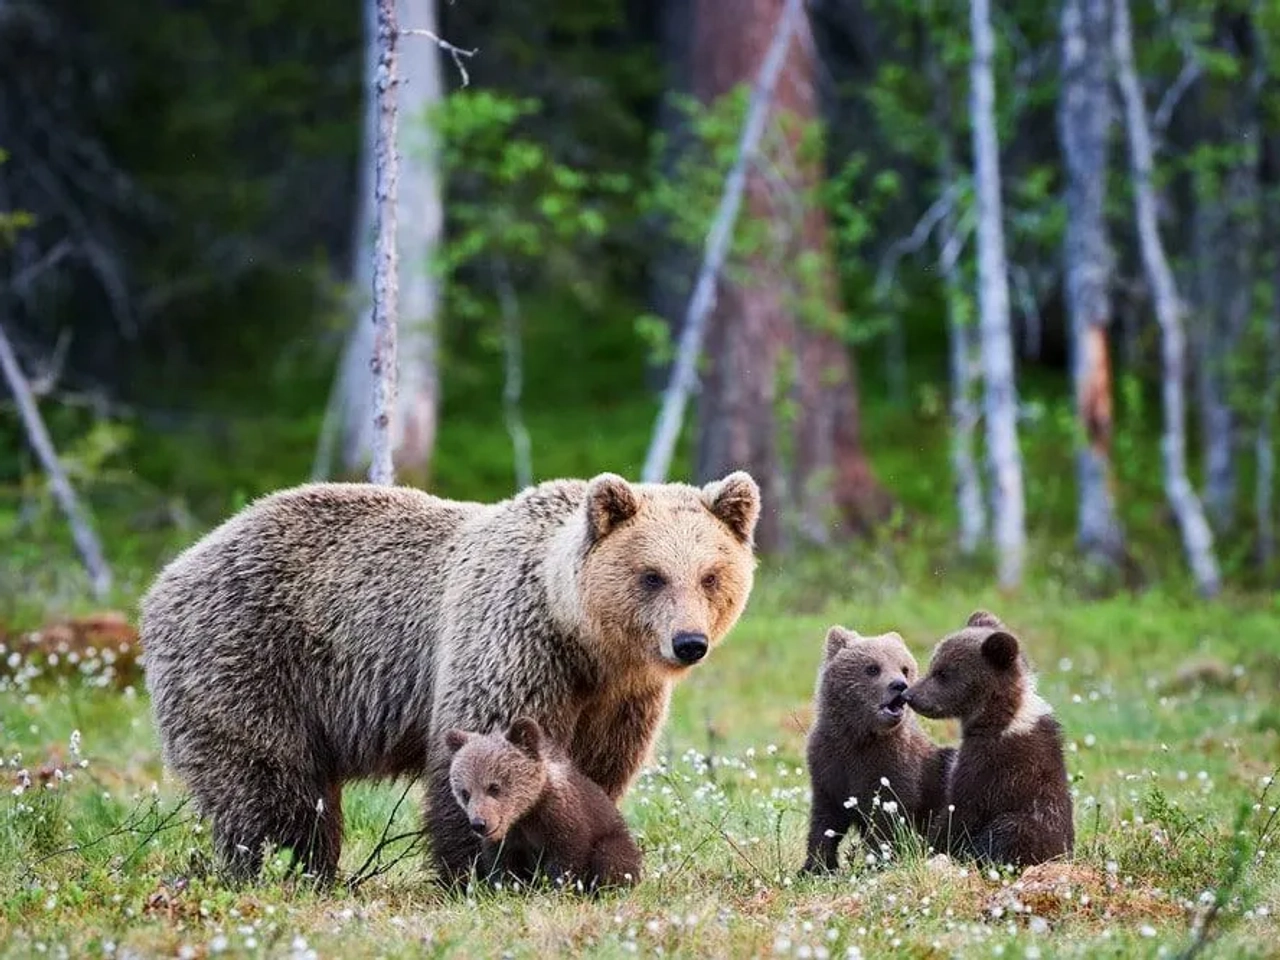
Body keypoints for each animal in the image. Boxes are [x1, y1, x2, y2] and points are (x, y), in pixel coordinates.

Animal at [444, 716, 642, 892]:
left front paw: (558, 890)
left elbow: (567, 859)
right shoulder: (508, 840)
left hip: (615, 838)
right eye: (465, 792)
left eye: (494, 787)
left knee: (611, 856)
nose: (479, 823)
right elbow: (503, 867)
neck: (526, 814)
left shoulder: (564, 821)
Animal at [801, 626, 956, 874]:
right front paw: (815, 866)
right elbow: (825, 819)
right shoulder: (828, 765)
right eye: (872, 668)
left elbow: (887, 821)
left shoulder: (893, 768)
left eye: (904, 668)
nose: (899, 685)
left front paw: (876, 861)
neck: (859, 737)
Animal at [903, 610, 1074, 868]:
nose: (909, 695)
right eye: (934, 664)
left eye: (944, 673)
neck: (999, 719)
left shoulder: (992, 766)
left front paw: (928, 846)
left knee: (1010, 830)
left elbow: (962, 810)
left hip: (1023, 824)